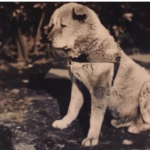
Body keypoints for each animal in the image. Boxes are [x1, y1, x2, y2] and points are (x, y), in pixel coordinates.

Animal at [47, 2, 150, 147]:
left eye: (63, 25)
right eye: (52, 25)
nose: (48, 40)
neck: (88, 50)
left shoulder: (99, 90)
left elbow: (95, 118)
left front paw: (91, 138)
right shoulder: (77, 85)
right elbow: (72, 107)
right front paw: (64, 122)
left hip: (146, 89)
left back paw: (135, 127)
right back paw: (119, 123)